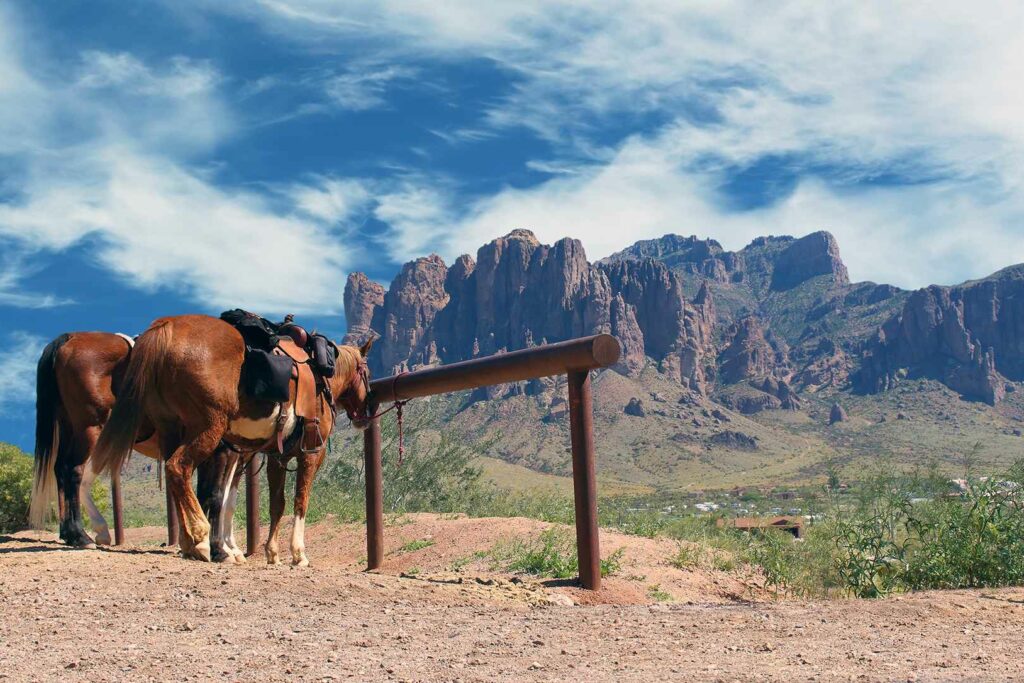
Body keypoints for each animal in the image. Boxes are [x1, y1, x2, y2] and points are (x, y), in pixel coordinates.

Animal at [92, 313, 372, 561]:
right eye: (366, 372)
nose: (366, 412)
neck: (321, 377)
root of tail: (166, 326)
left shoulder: (275, 457)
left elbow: (274, 503)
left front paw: (271, 553)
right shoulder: (311, 453)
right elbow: (299, 500)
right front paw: (297, 554)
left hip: (171, 429)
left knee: (178, 481)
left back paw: (190, 542)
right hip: (208, 430)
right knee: (178, 468)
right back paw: (200, 538)